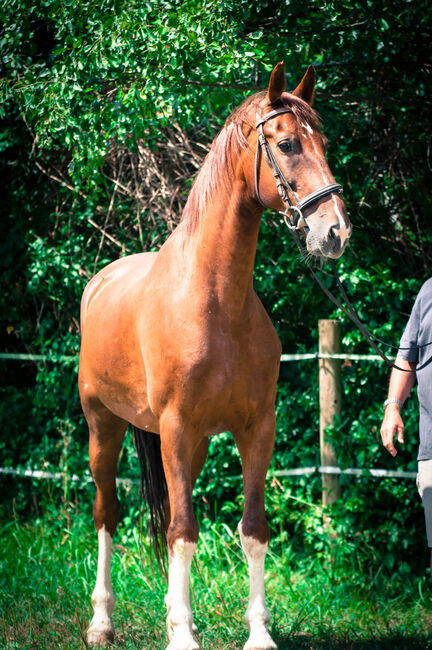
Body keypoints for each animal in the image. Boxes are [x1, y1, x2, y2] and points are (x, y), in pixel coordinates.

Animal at [78, 62, 352, 648]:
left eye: (324, 142)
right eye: (288, 143)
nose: (335, 231)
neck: (214, 301)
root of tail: (100, 282)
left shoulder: (255, 428)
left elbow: (252, 529)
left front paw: (258, 633)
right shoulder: (176, 426)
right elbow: (182, 530)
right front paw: (182, 635)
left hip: (191, 444)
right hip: (103, 427)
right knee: (107, 513)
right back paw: (101, 622)